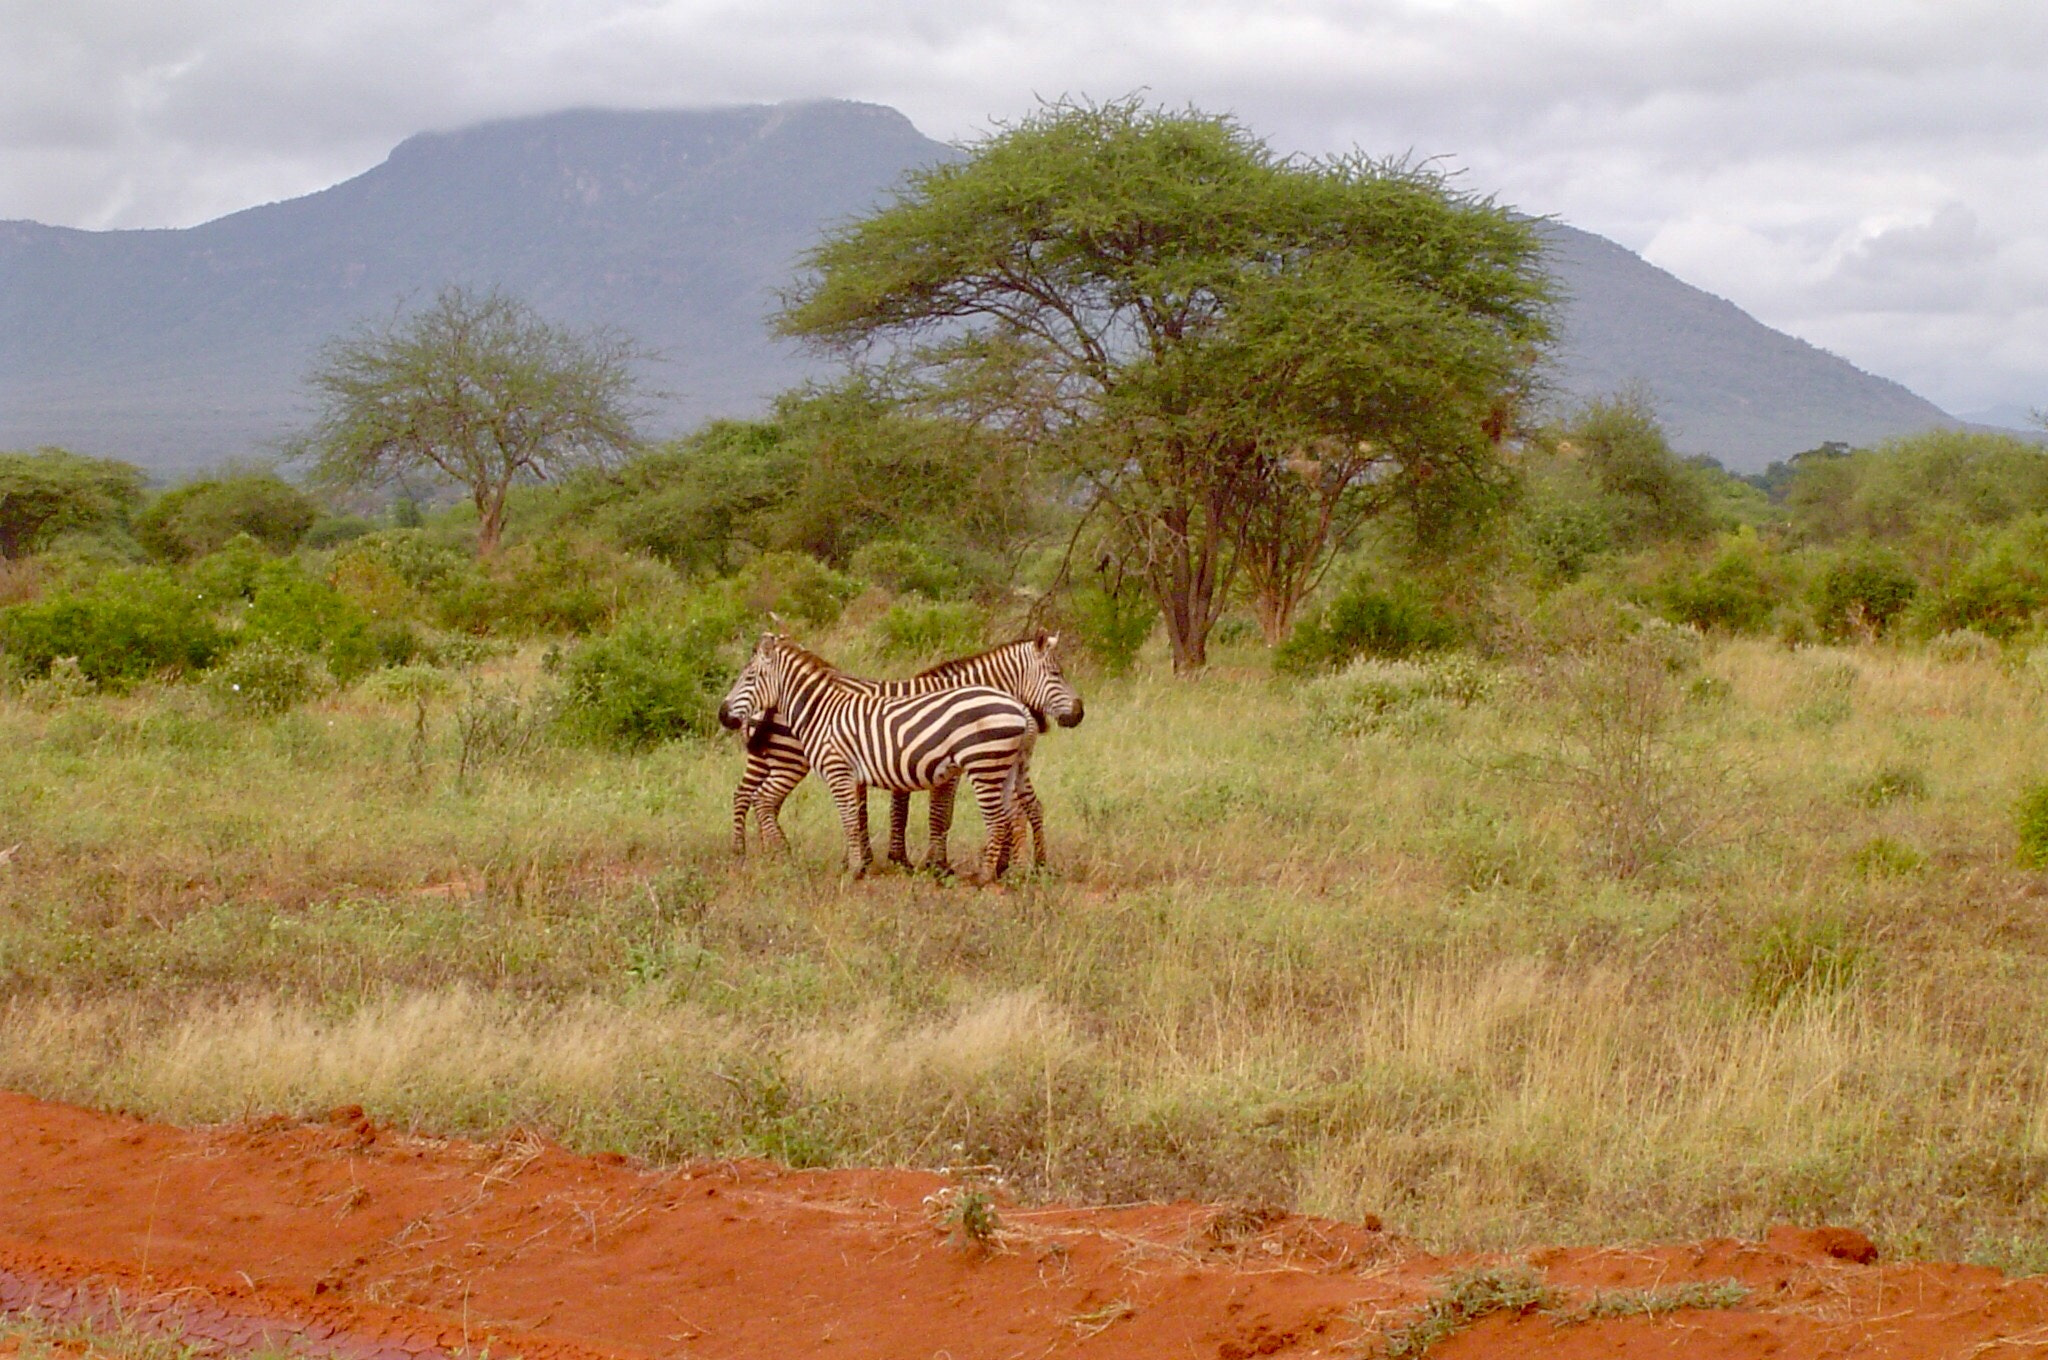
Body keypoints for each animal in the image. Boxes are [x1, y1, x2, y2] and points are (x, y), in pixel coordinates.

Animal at [737, 634, 1089, 872]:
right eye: (1057, 675)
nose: (1079, 713)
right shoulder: (943, 766)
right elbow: (940, 813)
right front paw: (934, 863)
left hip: (769, 758)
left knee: (749, 796)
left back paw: (757, 852)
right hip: (789, 759)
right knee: (753, 797)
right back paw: (758, 853)